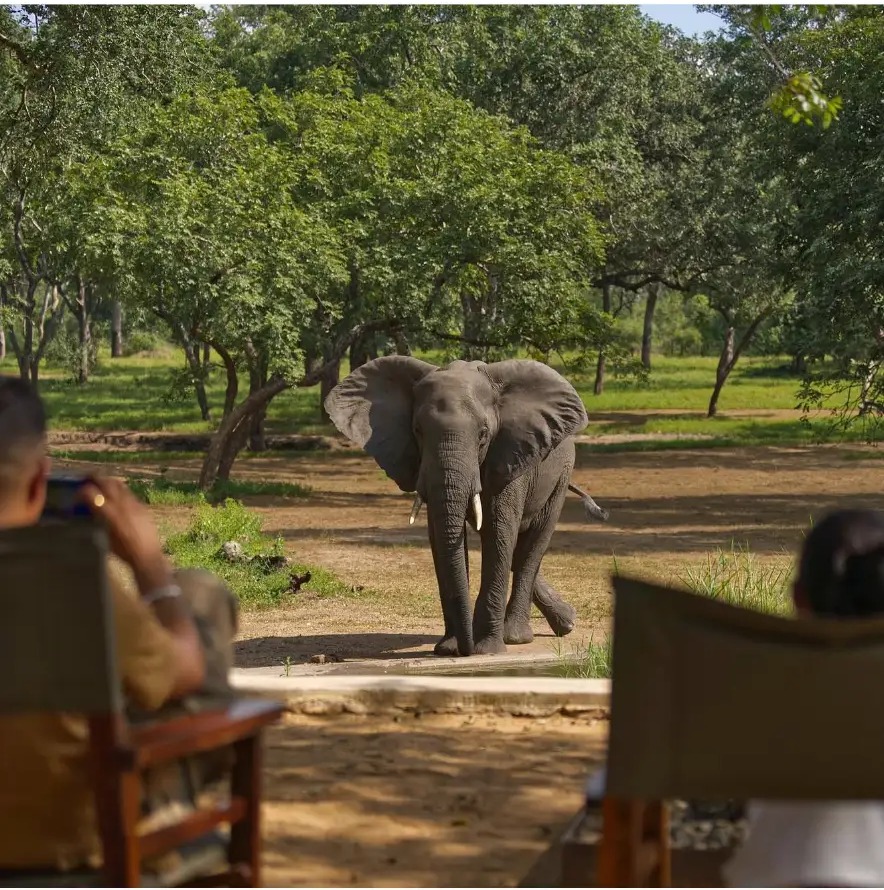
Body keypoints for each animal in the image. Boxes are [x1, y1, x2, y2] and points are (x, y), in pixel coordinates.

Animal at [324, 356, 609, 657]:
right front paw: (449, 649)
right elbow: (442, 536)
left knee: (530, 547)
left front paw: (487, 649)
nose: (466, 649)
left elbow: (499, 532)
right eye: (417, 431)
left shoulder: (509, 455)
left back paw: (517, 636)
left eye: (483, 434)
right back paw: (565, 622)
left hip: (561, 474)